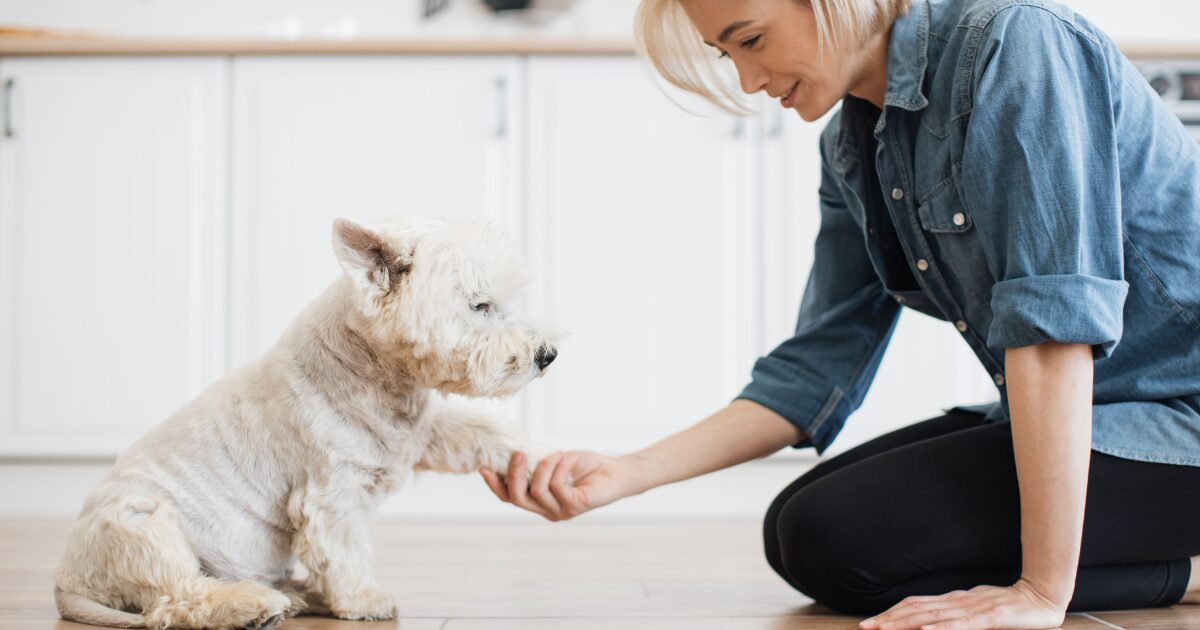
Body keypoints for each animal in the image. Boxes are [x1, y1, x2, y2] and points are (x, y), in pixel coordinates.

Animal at [52, 213, 561, 624]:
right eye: (480, 305)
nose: (547, 355)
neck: (377, 374)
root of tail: (67, 582)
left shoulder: (423, 433)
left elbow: (482, 432)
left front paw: (541, 460)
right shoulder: (331, 491)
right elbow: (343, 549)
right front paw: (363, 599)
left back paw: (295, 595)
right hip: (140, 523)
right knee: (176, 598)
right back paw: (254, 605)